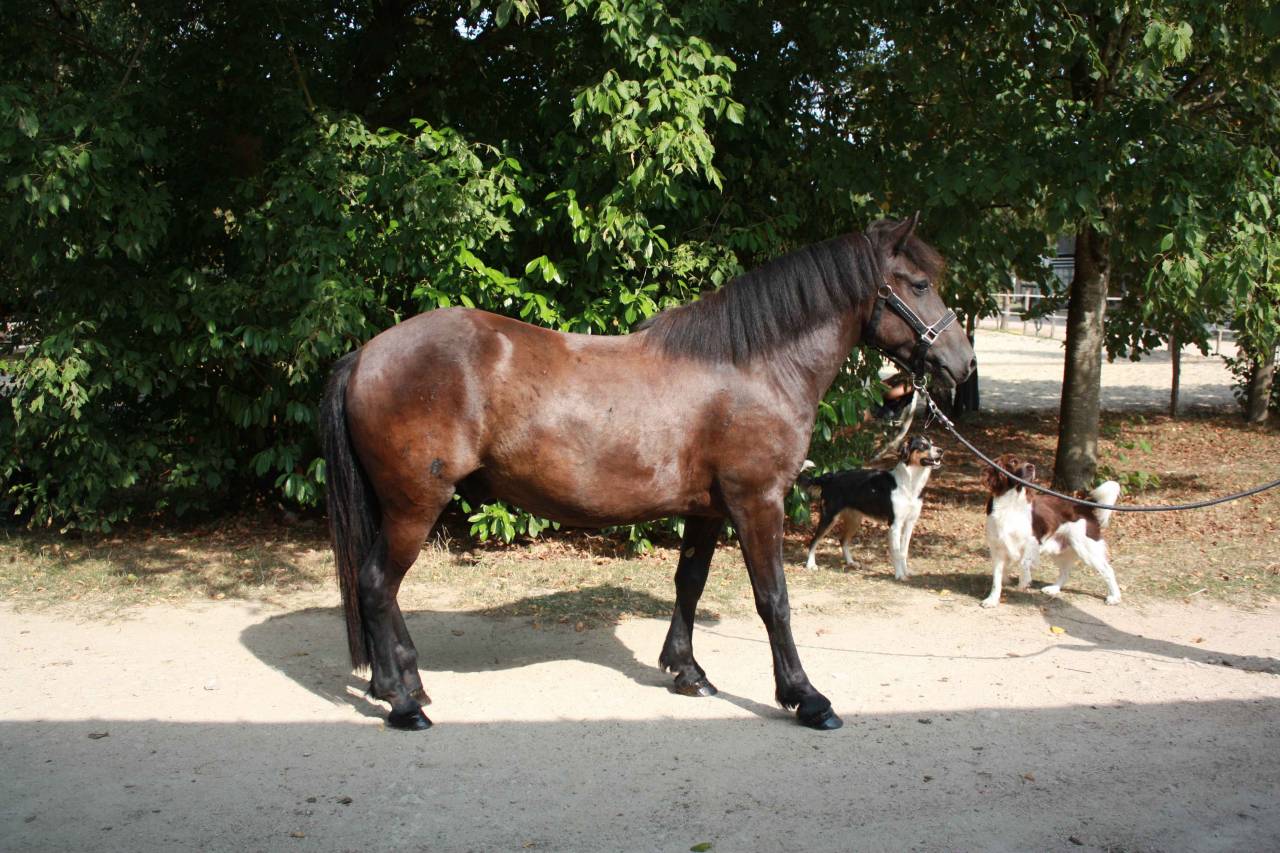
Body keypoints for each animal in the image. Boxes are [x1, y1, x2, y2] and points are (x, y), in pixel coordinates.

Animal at [320, 214, 976, 732]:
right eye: (919, 284)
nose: (962, 364)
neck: (753, 367)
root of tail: (367, 353)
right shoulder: (757, 501)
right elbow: (774, 600)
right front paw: (805, 697)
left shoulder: (710, 509)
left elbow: (690, 583)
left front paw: (687, 671)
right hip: (415, 504)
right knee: (377, 585)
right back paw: (404, 704)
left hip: (399, 506)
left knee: (379, 589)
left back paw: (402, 683)